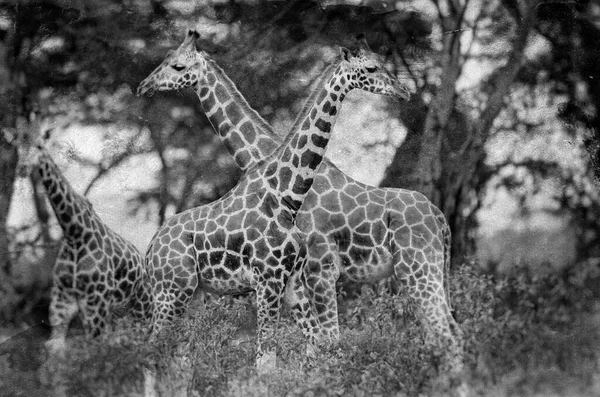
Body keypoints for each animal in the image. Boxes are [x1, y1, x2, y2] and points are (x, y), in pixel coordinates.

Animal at [14, 117, 152, 352]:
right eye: (19, 147)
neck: (74, 233)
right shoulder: (62, 300)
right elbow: (56, 347)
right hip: (119, 311)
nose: (23, 168)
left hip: (141, 305)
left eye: (39, 146)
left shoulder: (96, 301)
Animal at [137, 29, 464, 372]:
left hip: (419, 269)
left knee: (446, 334)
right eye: (168, 62)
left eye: (177, 66)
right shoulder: (299, 277)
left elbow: (317, 345)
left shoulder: (314, 272)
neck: (280, 185)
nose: (143, 86)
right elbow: (306, 349)